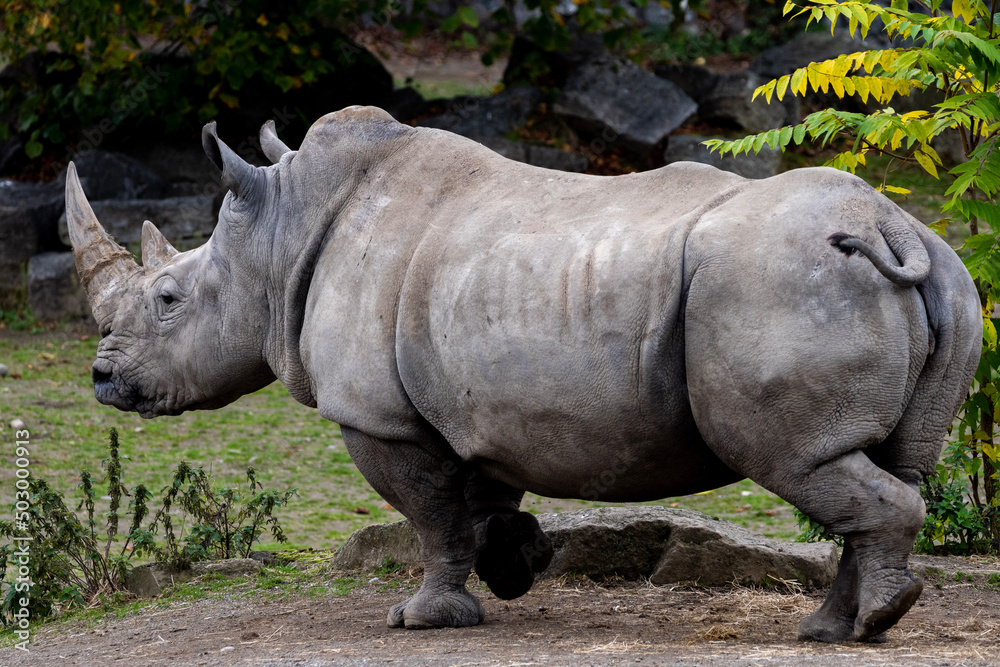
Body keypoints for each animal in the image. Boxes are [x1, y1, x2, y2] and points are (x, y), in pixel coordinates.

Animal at [65, 106, 981, 643]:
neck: (280, 236)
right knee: (886, 464)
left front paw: (424, 618)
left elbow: (430, 514)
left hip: (780, 283)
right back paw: (833, 628)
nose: (102, 380)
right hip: (944, 279)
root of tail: (893, 226)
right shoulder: (470, 398)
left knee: (799, 459)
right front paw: (517, 564)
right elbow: (480, 497)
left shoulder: (377, 414)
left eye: (170, 299)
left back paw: (867, 622)